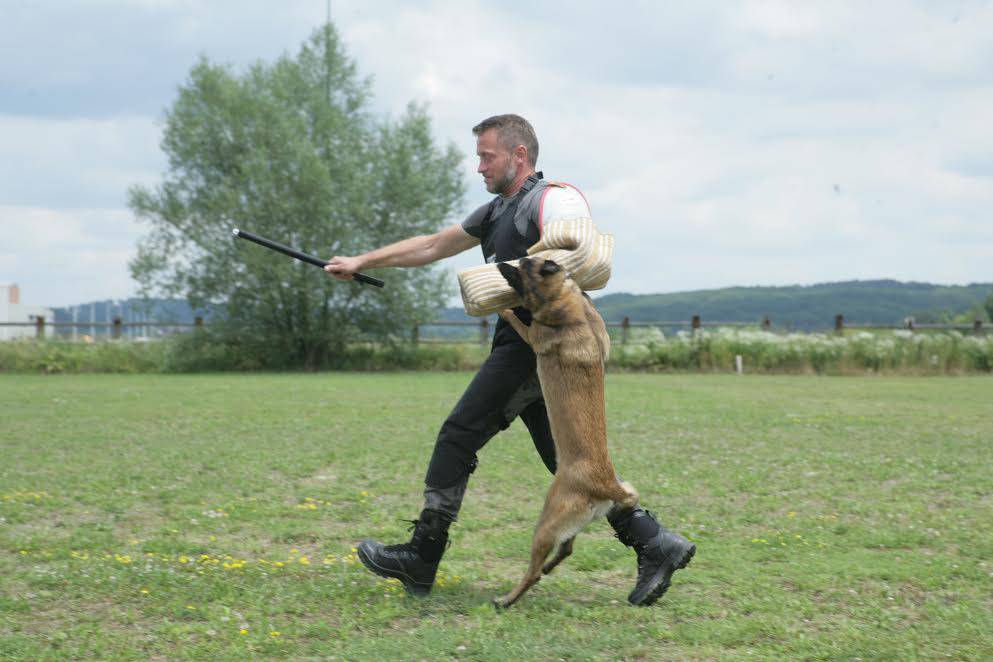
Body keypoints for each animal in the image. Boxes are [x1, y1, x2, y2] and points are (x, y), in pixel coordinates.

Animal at [492, 256, 640, 608]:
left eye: (522, 264)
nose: (499, 262)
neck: (566, 302)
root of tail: (604, 484)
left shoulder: (534, 335)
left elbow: (519, 321)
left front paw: (504, 310)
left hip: (546, 520)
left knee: (532, 571)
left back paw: (507, 599)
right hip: (567, 524)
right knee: (567, 548)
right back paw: (548, 568)